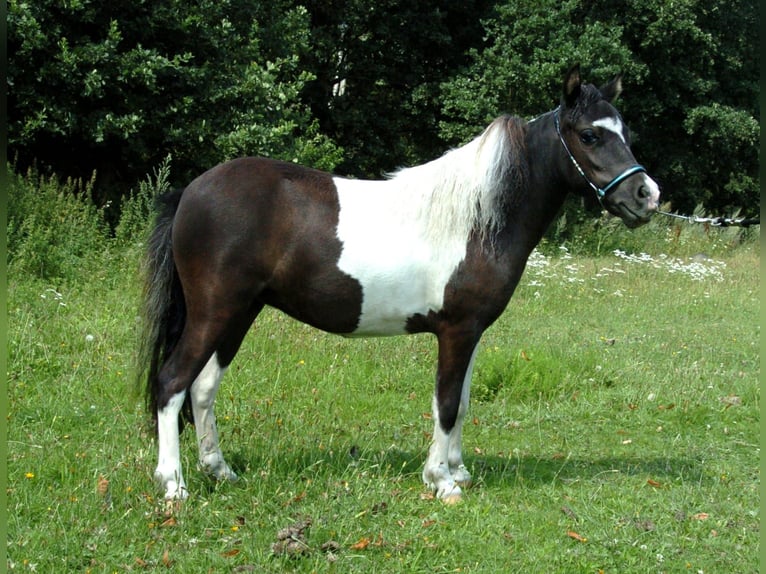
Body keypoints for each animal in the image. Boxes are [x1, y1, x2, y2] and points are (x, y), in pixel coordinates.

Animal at [139, 64, 660, 504]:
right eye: (590, 134)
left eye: (626, 133)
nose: (646, 196)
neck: (477, 220)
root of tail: (191, 191)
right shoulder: (456, 330)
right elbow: (445, 403)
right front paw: (442, 482)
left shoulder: (472, 333)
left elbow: (462, 402)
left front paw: (459, 469)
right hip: (215, 312)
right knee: (172, 383)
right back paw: (174, 486)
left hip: (239, 313)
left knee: (203, 388)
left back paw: (219, 470)